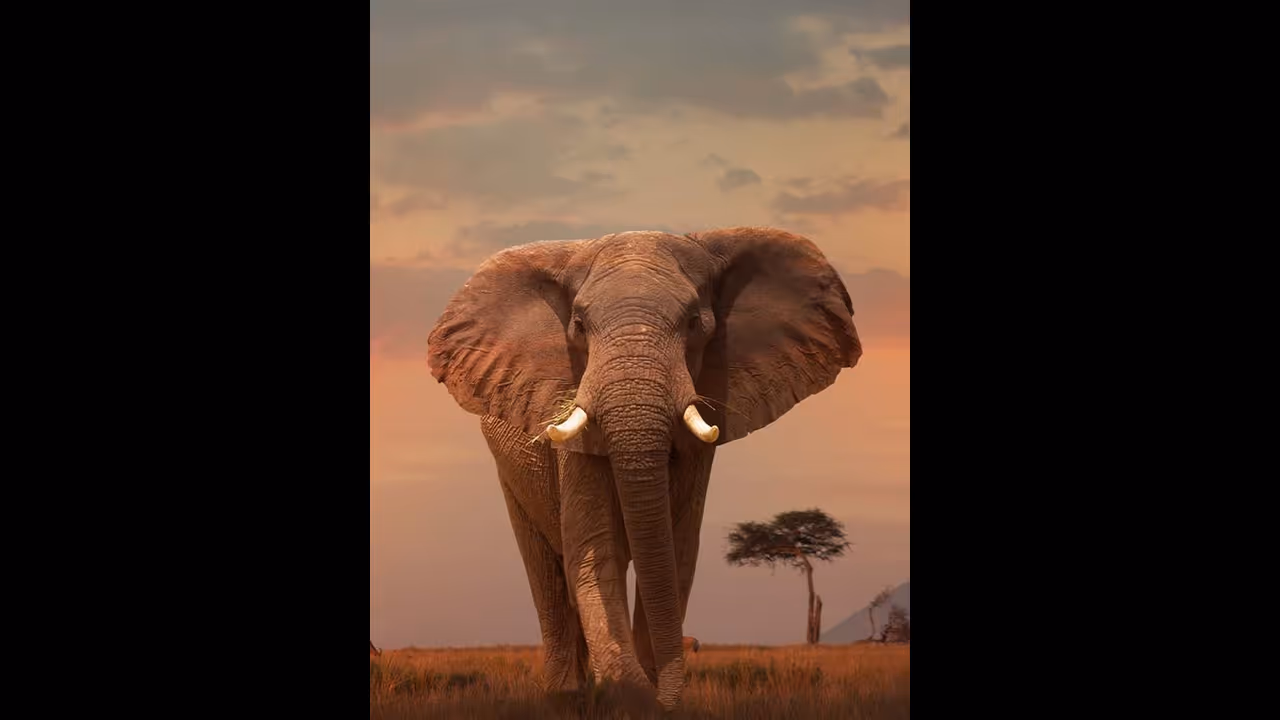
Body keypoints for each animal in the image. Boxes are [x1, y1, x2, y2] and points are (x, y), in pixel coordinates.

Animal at [426, 227, 862, 710]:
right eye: (579, 325)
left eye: (694, 323)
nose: (664, 697)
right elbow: (596, 549)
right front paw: (626, 693)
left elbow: (677, 550)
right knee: (547, 571)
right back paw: (567, 695)